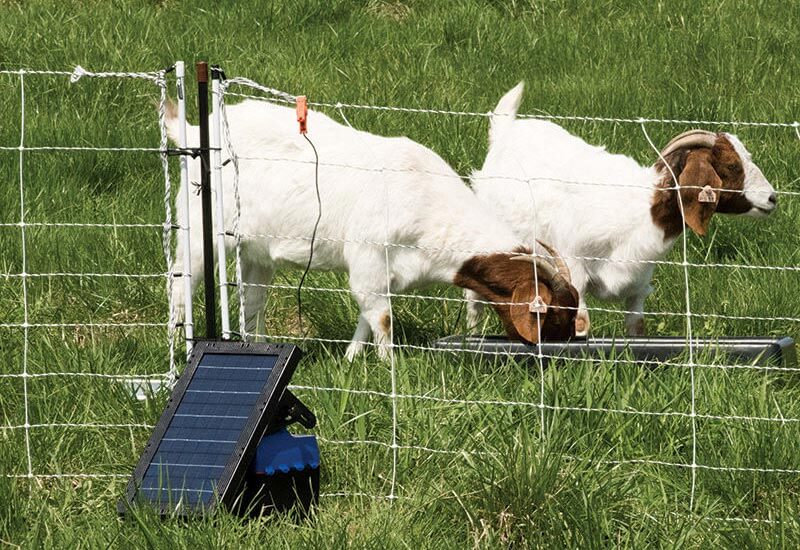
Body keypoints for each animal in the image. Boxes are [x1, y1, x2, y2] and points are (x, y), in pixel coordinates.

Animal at [166, 98, 580, 362]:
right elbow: (381, 317)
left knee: (252, 303)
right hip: (200, 231)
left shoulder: (386, 272)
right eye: (552, 316)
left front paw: (352, 359)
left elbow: (368, 315)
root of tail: (191, 130)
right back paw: (178, 345)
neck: (426, 199)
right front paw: (388, 366)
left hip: (255, 252)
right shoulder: (366, 255)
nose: (561, 356)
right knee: (180, 282)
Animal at [468, 82, 776, 336]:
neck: (643, 212)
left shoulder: (639, 283)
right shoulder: (574, 269)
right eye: (732, 166)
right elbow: (582, 325)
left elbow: (637, 329)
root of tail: (505, 131)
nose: (773, 198)